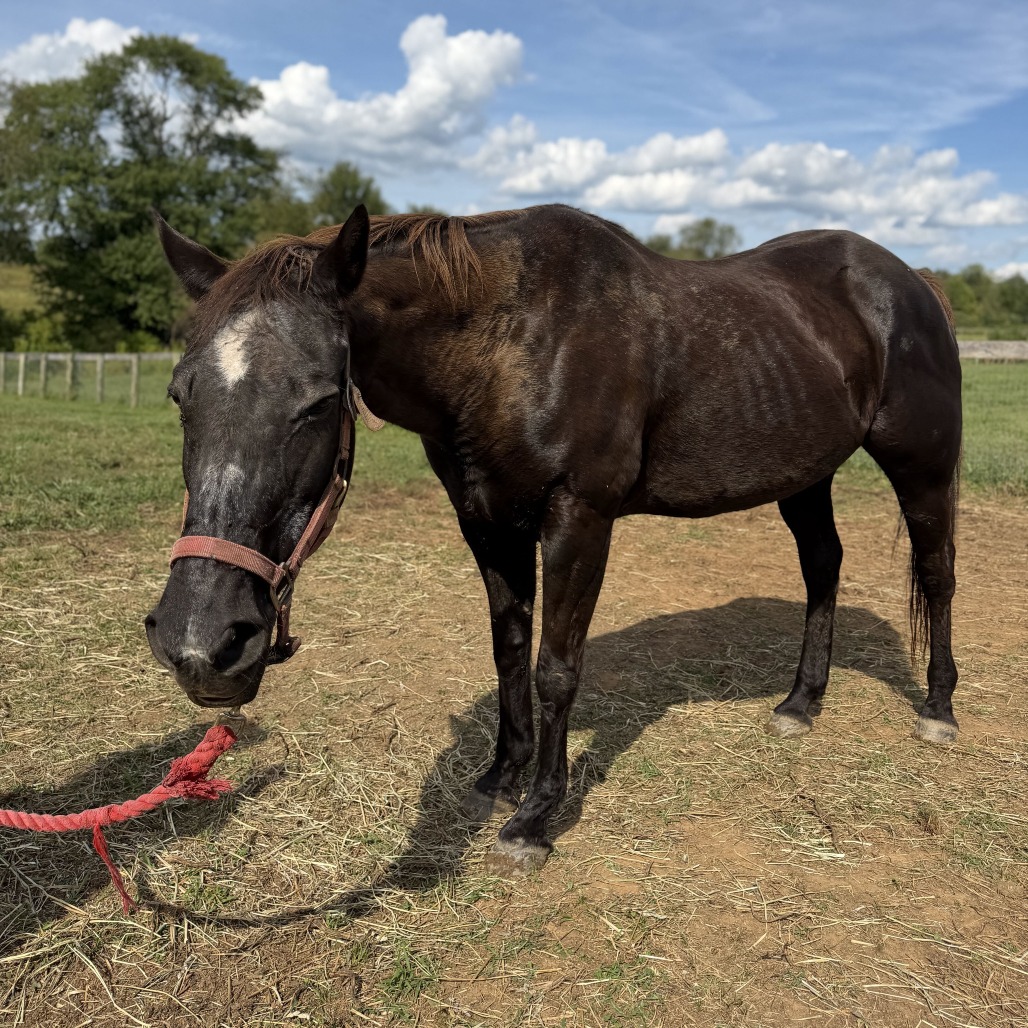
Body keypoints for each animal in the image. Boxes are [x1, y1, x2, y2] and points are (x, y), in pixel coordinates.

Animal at [145, 203, 962, 873]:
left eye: (317, 402)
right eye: (179, 395)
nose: (201, 645)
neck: (512, 340)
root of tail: (912, 282)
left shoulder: (578, 520)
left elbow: (556, 668)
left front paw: (535, 818)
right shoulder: (485, 520)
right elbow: (509, 649)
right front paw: (500, 779)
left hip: (921, 469)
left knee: (937, 573)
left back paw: (938, 709)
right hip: (806, 475)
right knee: (824, 565)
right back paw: (801, 702)